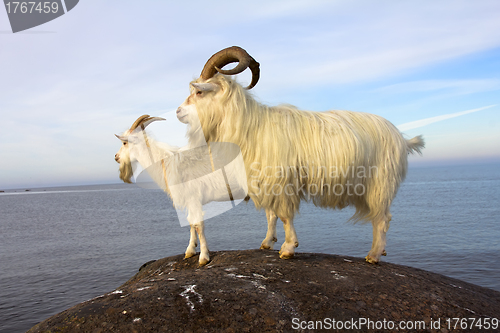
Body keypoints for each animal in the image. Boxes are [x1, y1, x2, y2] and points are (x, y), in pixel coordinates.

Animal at [178, 45, 424, 264]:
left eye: (199, 92)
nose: (178, 112)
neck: (251, 126)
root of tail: (402, 138)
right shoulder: (264, 180)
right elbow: (271, 214)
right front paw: (267, 242)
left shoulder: (282, 181)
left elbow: (284, 215)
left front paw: (288, 248)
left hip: (379, 184)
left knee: (382, 219)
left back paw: (374, 255)